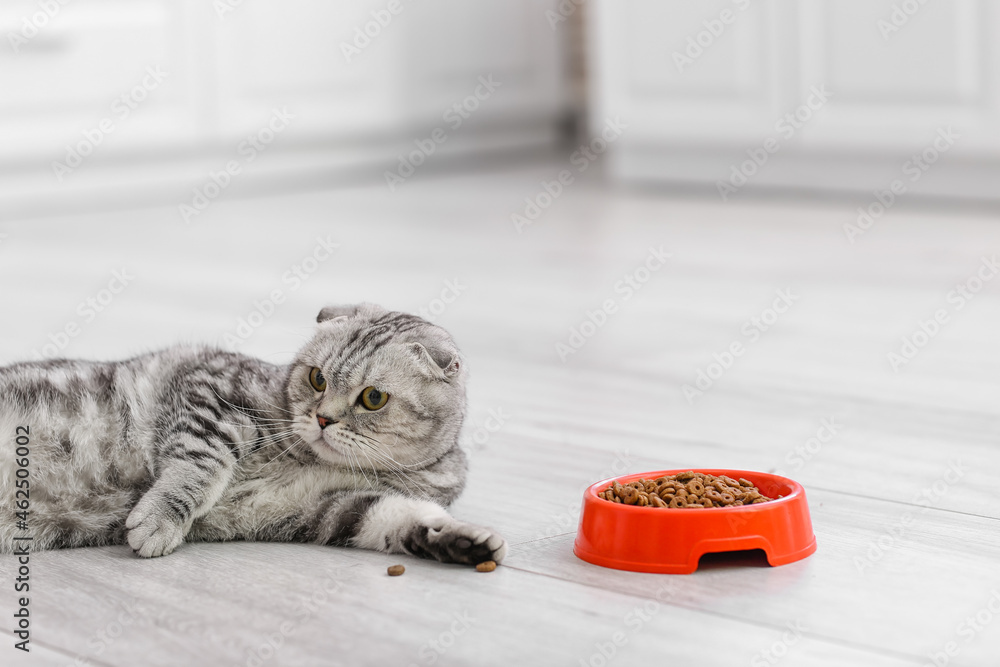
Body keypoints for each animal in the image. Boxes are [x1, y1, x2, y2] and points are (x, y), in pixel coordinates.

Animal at [0, 306, 504, 568]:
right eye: (318, 379)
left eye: (373, 398)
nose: (323, 419)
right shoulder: (210, 392)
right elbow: (200, 466)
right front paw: (160, 519)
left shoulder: (330, 507)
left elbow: (401, 517)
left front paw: (462, 540)